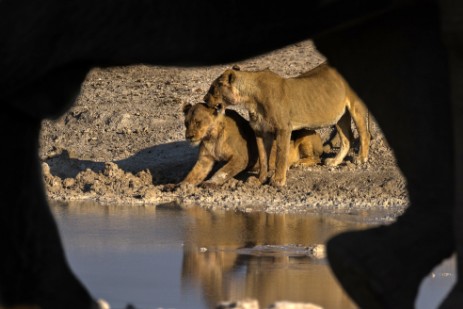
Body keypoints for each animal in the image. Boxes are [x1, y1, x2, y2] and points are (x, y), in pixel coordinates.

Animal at [178, 102, 326, 186]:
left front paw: (210, 182)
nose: (189, 137)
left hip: (305, 135)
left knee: (317, 158)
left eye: (198, 122)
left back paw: (298, 163)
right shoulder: (205, 159)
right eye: (186, 123)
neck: (211, 137)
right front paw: (181, 185)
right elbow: (193, 174)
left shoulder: (242, 157)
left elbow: (222, 171)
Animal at [205, 63, 372, 185]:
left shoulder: (283, 128)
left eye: (213, 89)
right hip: (339, 115)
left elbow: (280, 156)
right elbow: (263, 159)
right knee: (347, 139)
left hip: (355, 107)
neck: (250, 99)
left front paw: (278, 180)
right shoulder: (260, 131)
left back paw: (361, 158)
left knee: (364, 134)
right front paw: (259, 180)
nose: (204, 99)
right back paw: (334, 161)